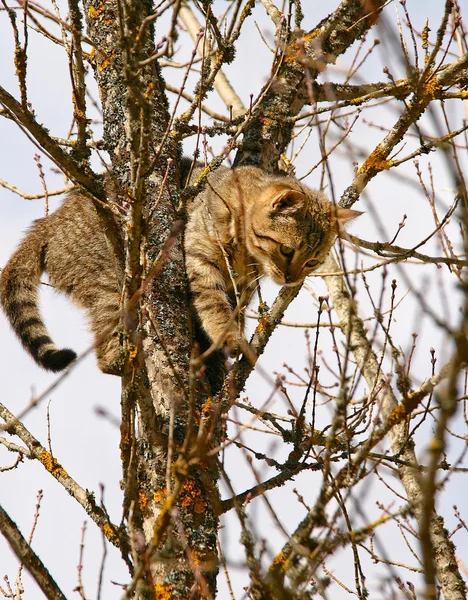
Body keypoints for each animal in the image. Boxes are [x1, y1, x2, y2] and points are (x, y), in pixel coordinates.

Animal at [0, 162, 360, 372]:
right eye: (287, 250)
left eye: (312, 261)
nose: (291, 278)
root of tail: (47, 223)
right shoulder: (198, 259)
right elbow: (215, 305)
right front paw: (228, 336)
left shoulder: (242, 284)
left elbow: (235, 306)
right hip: (112, 284)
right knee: (104, 349)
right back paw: (121, 357)